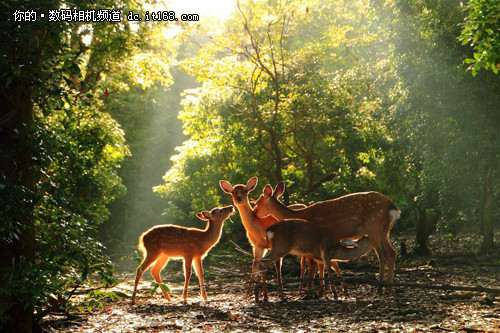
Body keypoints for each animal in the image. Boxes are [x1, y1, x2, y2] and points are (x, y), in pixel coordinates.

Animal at [254, 182, 398, 294]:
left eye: (258, 201)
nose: (255, 212)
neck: (302, 214)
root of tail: (395, 209)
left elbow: (314, 264)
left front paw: (311, 291)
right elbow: (322, 263)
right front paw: (321, 291)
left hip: (374, 227)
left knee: (382, 256)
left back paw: (380, 289)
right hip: (384, 232)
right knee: (392, 252)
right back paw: (388, 288)